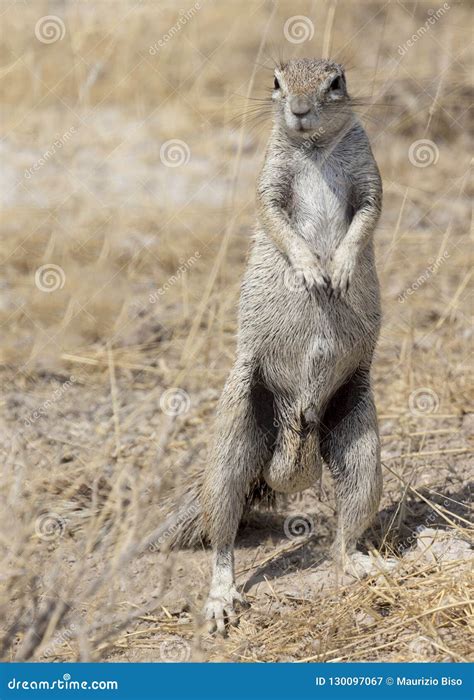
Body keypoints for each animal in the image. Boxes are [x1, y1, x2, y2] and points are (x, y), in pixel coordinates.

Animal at [157, 58, 384, 636]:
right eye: (276, 82)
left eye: (336, 82)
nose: (299, 110)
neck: (313, 148)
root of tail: (292, 445)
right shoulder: (270, 180)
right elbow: (274, 216)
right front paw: (310, 269)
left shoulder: (368, 172)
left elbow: (368, 213)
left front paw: (340, 267)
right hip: (238, 425)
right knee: (223, 534)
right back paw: (221, 599)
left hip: (360, 438)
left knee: (346, 530)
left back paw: (364, 564)